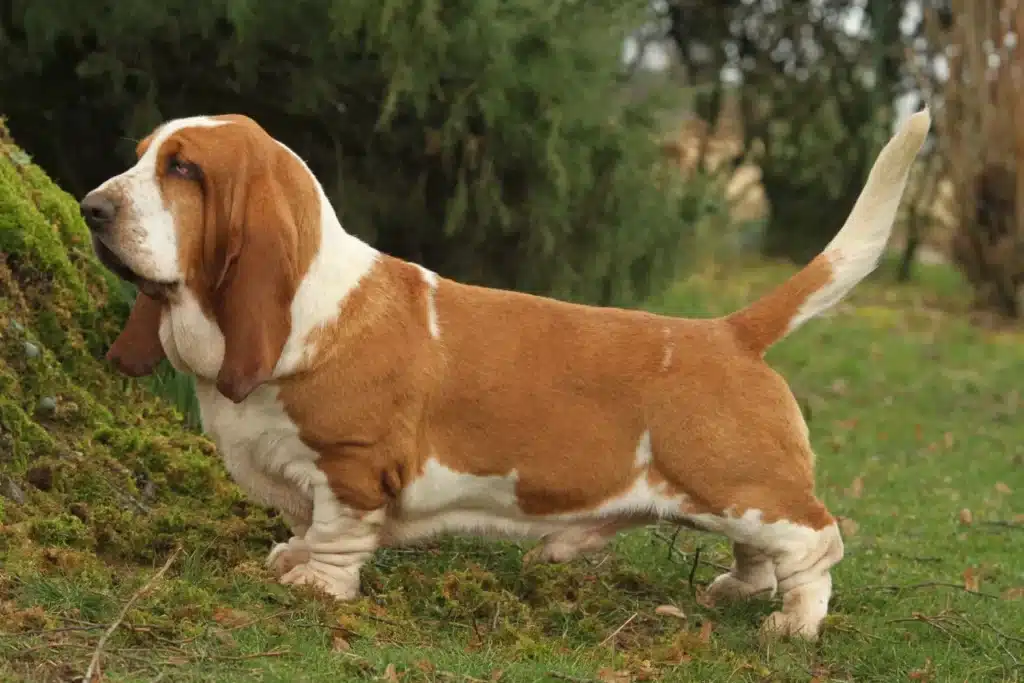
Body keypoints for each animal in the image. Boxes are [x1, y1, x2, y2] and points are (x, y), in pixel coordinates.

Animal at [83, 109, 933, 638]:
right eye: (141, 154)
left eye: (184, 169)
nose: (91, 207)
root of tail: (729, 331)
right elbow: (301, 523)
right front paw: (289, 556)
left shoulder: (352, 467)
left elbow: (337, 532)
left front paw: (316, 584)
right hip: (725, 492)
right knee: (762, 550)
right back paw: (736, 589)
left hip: (740, 483)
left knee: (817, 540)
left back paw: (795, 623)